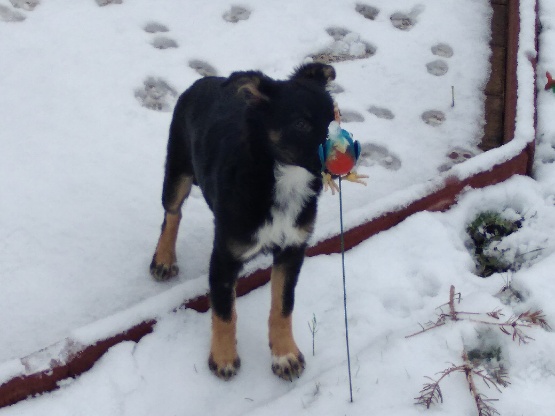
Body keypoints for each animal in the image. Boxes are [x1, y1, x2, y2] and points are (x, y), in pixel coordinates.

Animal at [150, 62, 336, 380]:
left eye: (335, 118)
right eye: (301, 124)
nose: (344, 158)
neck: (282, 181)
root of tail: (206, 81)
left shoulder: (292, 250)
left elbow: (283, 306)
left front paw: (284, 354)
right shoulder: (224, 257)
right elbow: (225, 311)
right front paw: (223, 358)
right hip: (177, 169)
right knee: (172, 213)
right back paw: (163, 258)